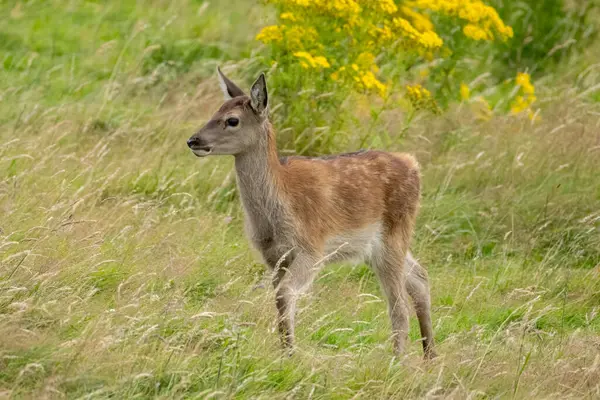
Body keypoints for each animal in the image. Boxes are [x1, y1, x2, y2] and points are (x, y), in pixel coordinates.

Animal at [186, 68, 436, 360]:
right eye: (216, 110)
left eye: (232, 120)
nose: (193, 140)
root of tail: (414, 165)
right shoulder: (274, 256)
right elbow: (280, 297)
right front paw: (285, 350)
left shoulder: (312, 247)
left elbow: (285, 293)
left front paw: (290, 354)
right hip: (383, 246)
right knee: (420, 278)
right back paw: (430, 355)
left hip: (393, 237)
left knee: (399, 307)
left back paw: (398, 361)